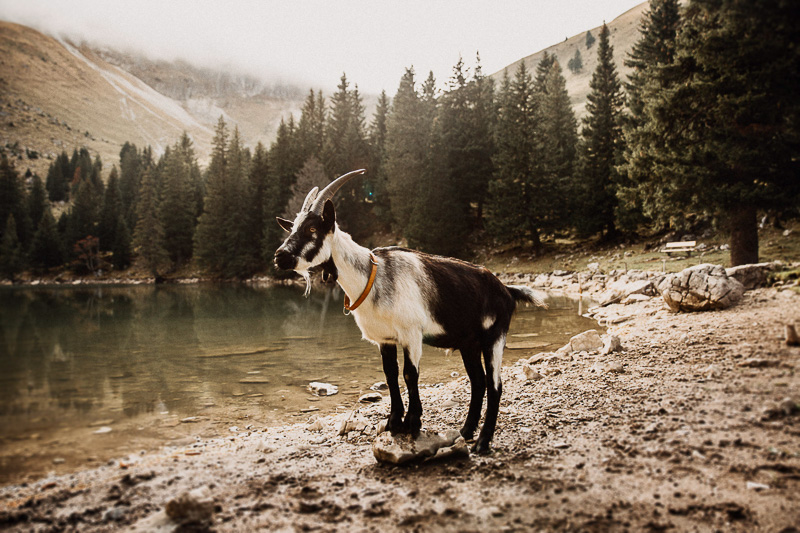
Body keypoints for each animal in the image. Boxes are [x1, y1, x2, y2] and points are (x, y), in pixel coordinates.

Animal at [276, 170, 544, 454]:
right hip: (469, 344)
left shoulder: (411, 334)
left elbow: (409, 374)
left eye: (312, 228)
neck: (373, 277)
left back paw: (483, 442)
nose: (280, 257)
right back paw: (466, 431)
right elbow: (390, 375)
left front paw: (412, 422)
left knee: (494, 385)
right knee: (478, 381)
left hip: (494, 337)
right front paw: (394, 422)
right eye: (292, 228)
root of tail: (506, 290)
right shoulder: (384, 339)